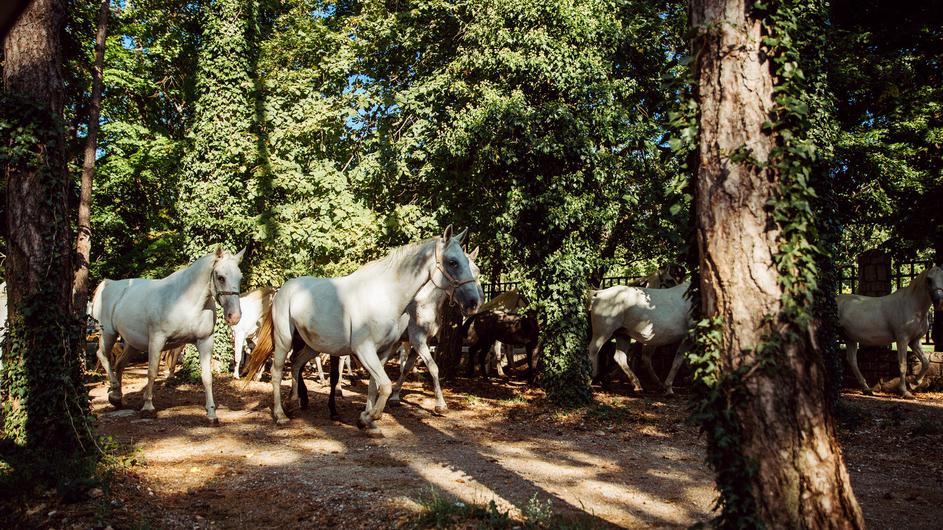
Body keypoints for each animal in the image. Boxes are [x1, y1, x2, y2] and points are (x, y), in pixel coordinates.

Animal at [91, 247, 245, 422]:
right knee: (102, 355)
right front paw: (148, 407)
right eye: (220, 277)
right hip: (108, 333)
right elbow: (152, 372)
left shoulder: (205, 341)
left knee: (119, 364)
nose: (234, 316)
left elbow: (207, 377)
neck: (187, 302)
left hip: (133, 343)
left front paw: (211, 414)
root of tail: (109, 283)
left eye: (240, 277)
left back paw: (116, 397)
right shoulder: (157, 340)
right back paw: (114, 389)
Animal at [243, 226, 482, 434]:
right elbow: (385, 384)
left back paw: (294, 403)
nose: (473, 302)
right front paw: (368, 417)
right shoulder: (366, 349)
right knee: (277, 371)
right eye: (453, 262)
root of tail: (282, 289)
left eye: (474, 267)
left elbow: (376, 385)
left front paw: (369, 421)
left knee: (296, 365)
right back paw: (280, 415)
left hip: (313, 346)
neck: (384, 295)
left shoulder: (383, 351)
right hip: (284, 339)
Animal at [838, 265, 943, 398]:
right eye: (929, 279)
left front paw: (915, 383)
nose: (939, 301)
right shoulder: (902, 339)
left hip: (850, 338)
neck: (912, 306)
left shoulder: (914, 341)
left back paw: (866, 389)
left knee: (852, 360)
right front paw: (904, 391)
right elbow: (903, 365)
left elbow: (926, 362)